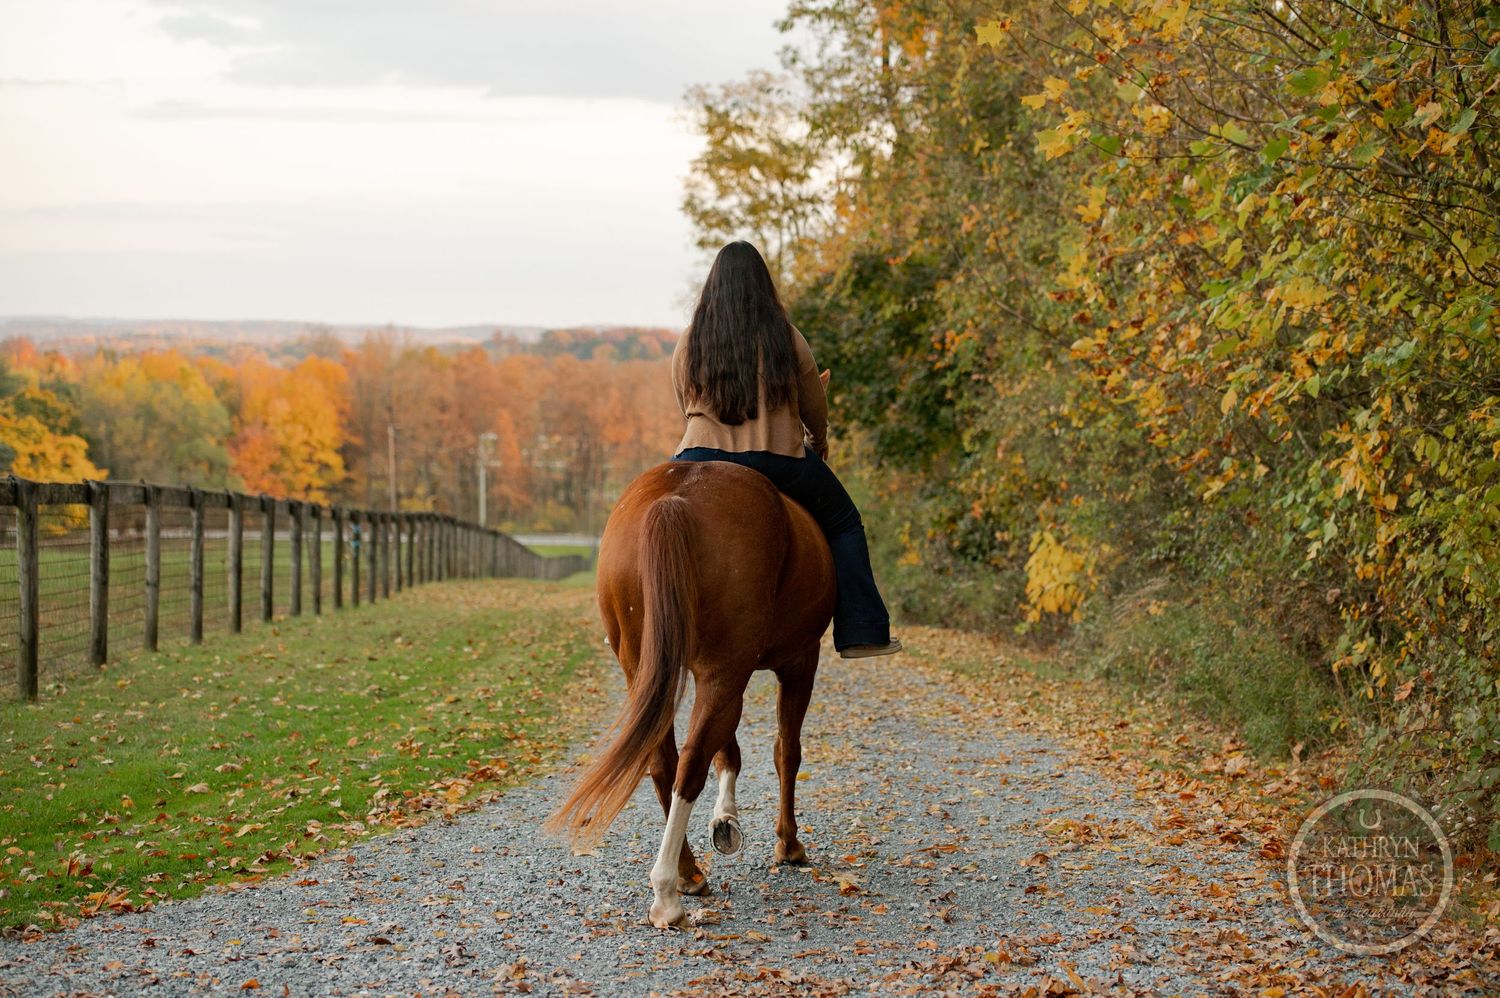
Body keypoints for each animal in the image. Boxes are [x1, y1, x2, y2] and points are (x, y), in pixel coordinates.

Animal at [544, 457, 836, 928]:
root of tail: (676, 498)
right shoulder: (799, 662)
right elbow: (786, 752)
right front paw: (788, 844)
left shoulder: (729, 674)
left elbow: (730, 750)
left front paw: (726, 820)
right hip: (726, 672)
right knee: (691, 763)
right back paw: (667, 891)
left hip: (649, 668)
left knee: (665, 762)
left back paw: (686, 873)